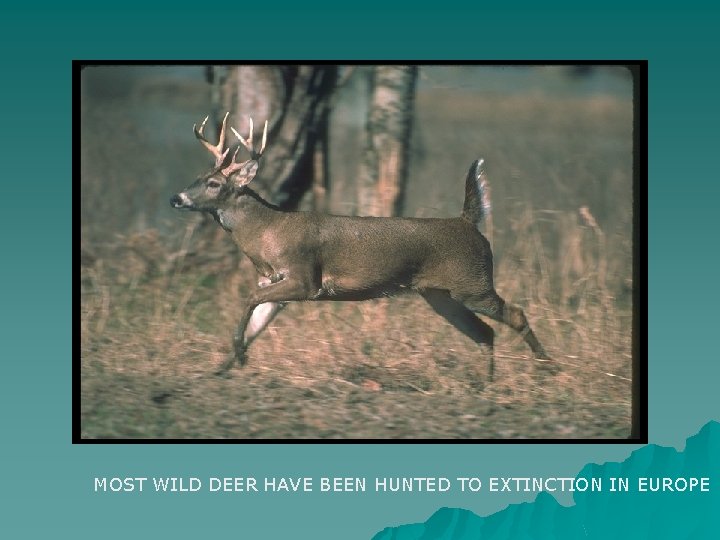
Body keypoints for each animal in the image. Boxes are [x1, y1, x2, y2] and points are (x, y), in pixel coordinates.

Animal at [170, 112, 554, 379]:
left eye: (214, 183)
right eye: (197, 178)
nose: (176, 198)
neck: (267, 232)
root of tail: (467, 222)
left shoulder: (305, 278)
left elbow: (249, 299)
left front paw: (237, 357)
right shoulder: (275, 281)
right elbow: (256, 323)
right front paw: (223, 367)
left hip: (472, 283)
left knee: (515, 314)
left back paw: (548, 367)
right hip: (440, 294)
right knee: (484, 332)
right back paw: (486, 384)